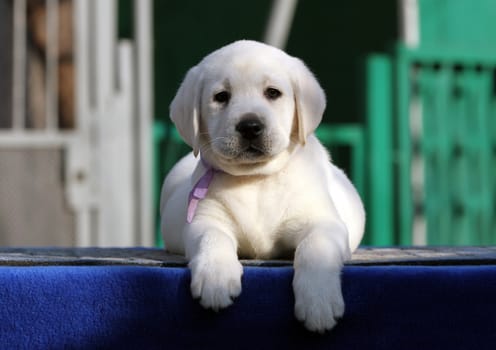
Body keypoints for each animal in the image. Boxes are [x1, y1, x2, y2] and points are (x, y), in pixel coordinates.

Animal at [161, 39, 366, 332]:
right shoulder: (205, 220)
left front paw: (318, 301)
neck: (255, 179)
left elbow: (315, 248)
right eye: (221, 97)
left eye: (272, 93)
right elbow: (212, 238)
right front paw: (216, 278)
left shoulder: (322, 222)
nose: (250, 126)